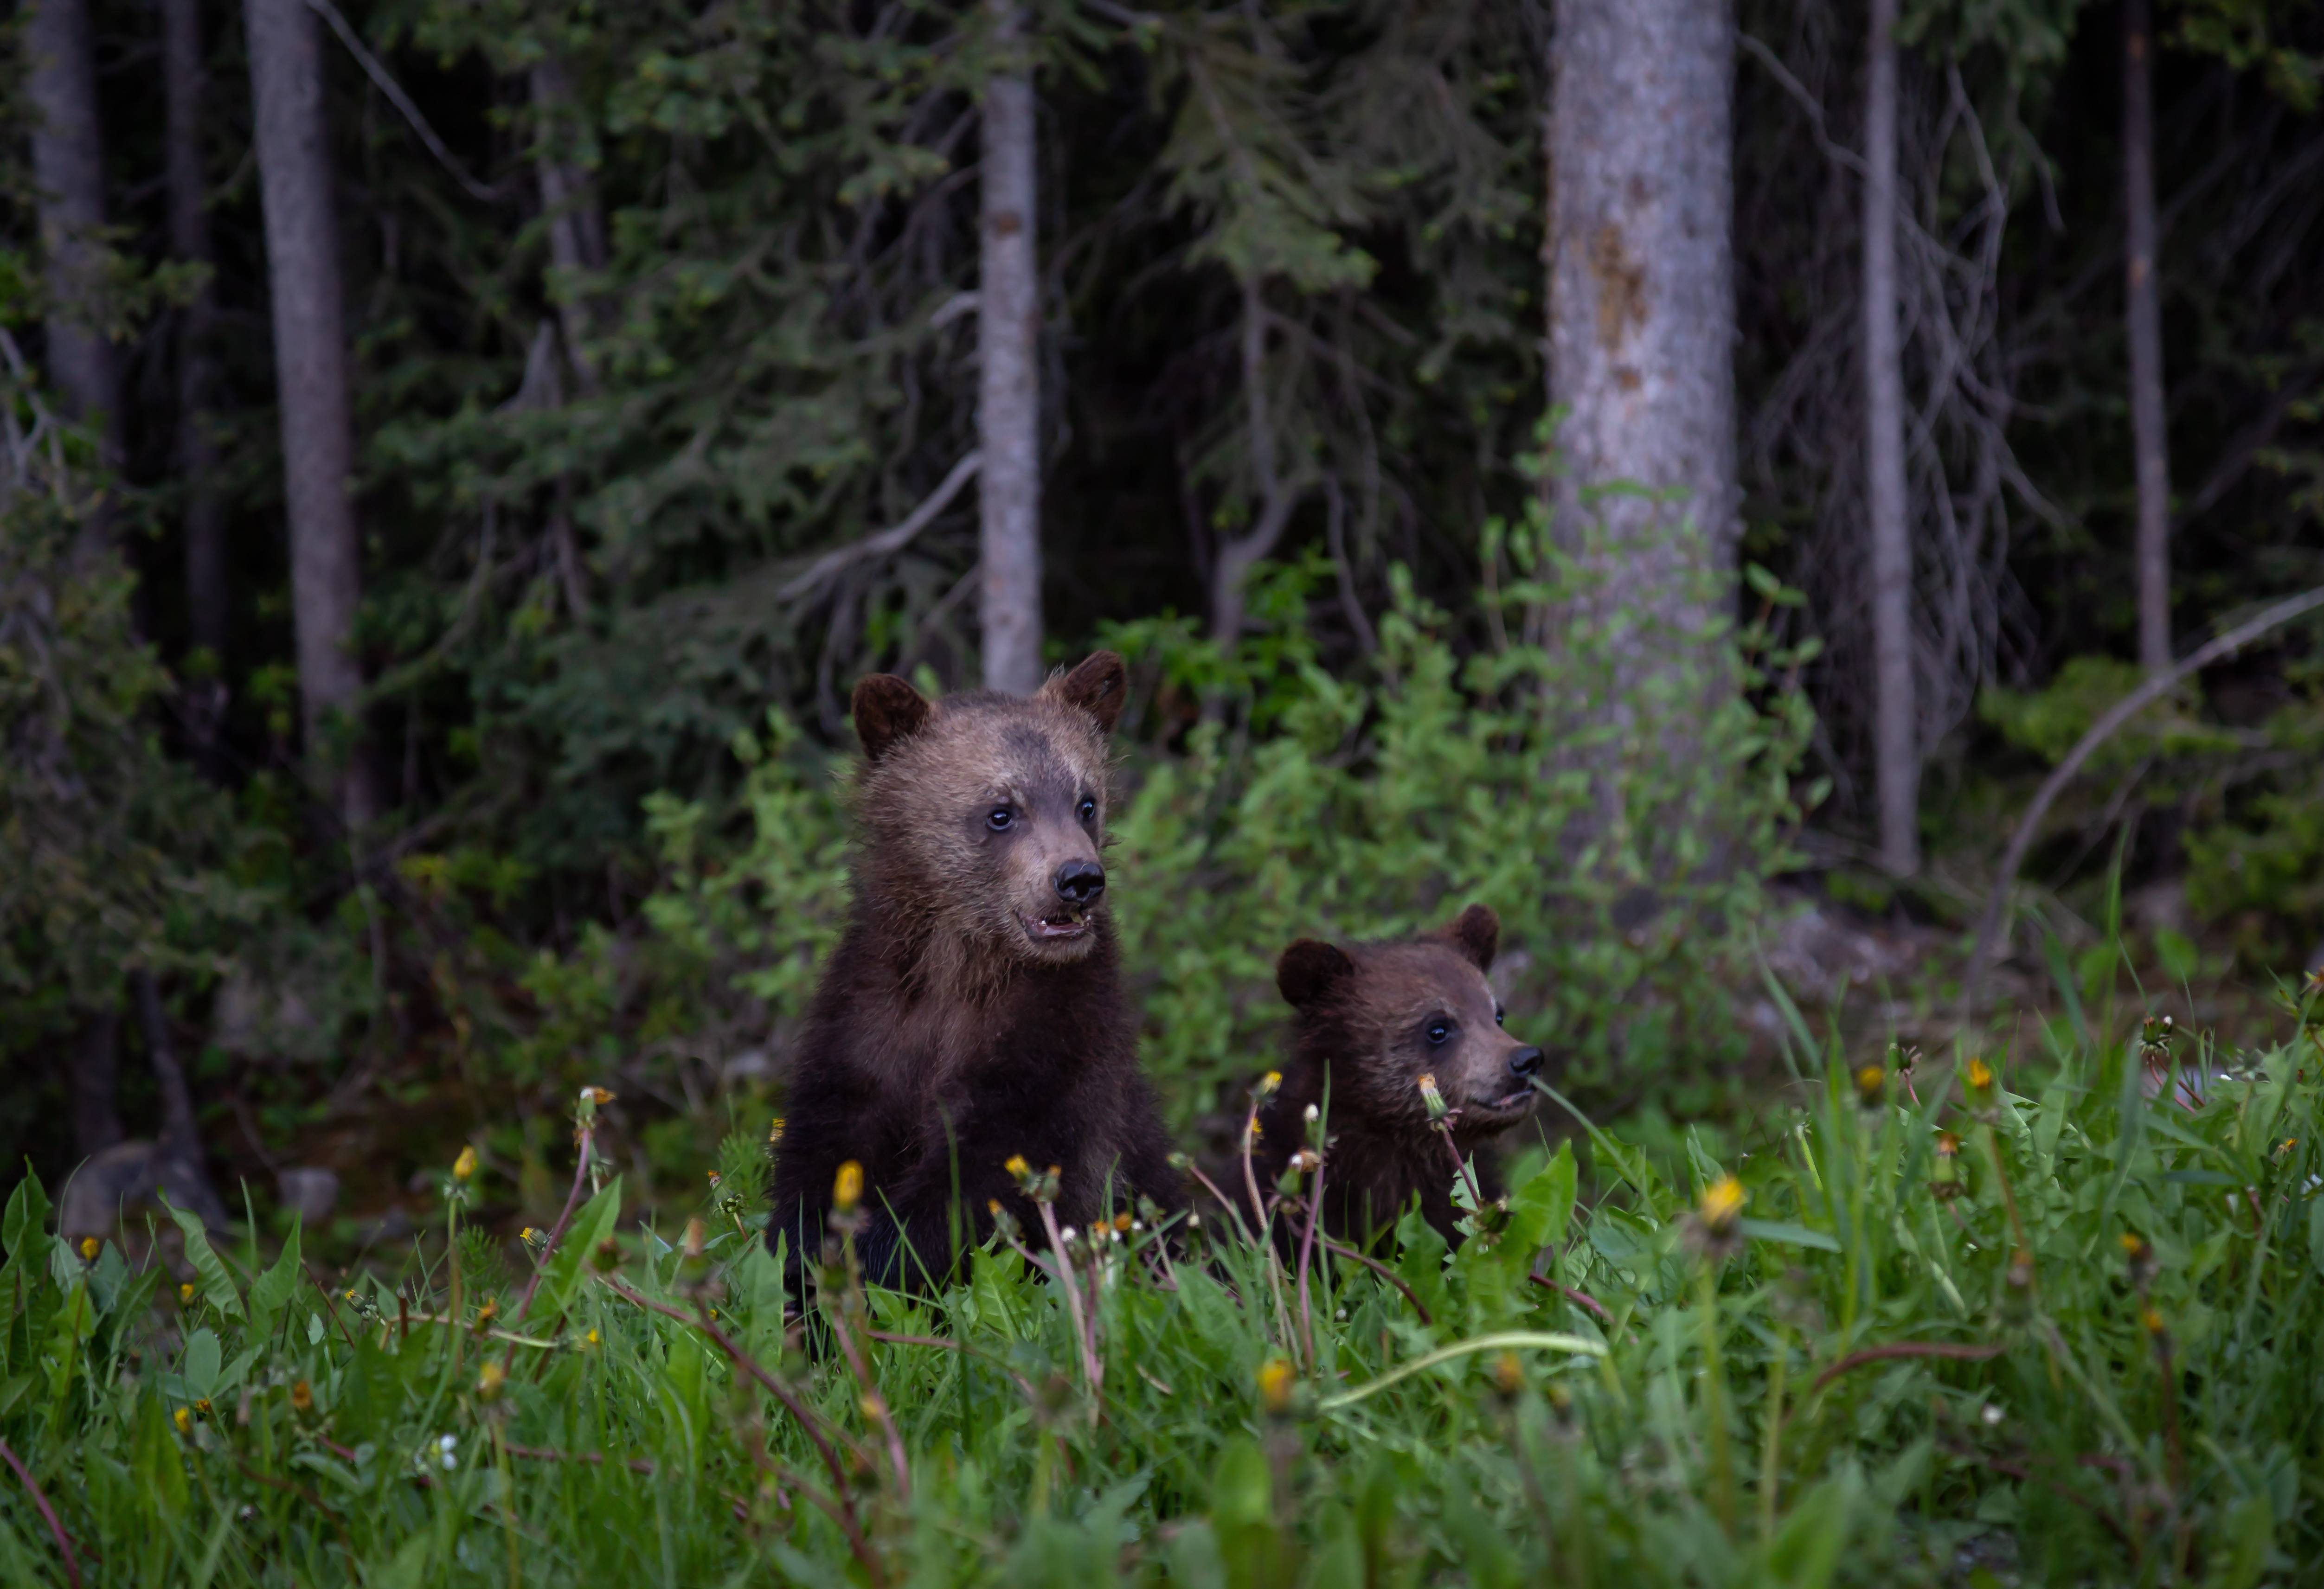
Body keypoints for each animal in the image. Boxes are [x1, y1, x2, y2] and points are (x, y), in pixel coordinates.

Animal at [768, 651, 1184, 1289]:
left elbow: (990, 1175)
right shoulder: (871, 1013)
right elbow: (829, 1140)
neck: (962, 962)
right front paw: (802, 1260)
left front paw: (879, 1260)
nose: (1079, 879)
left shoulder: (1055, 1037)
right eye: (1001, 812)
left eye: (1086, 801)